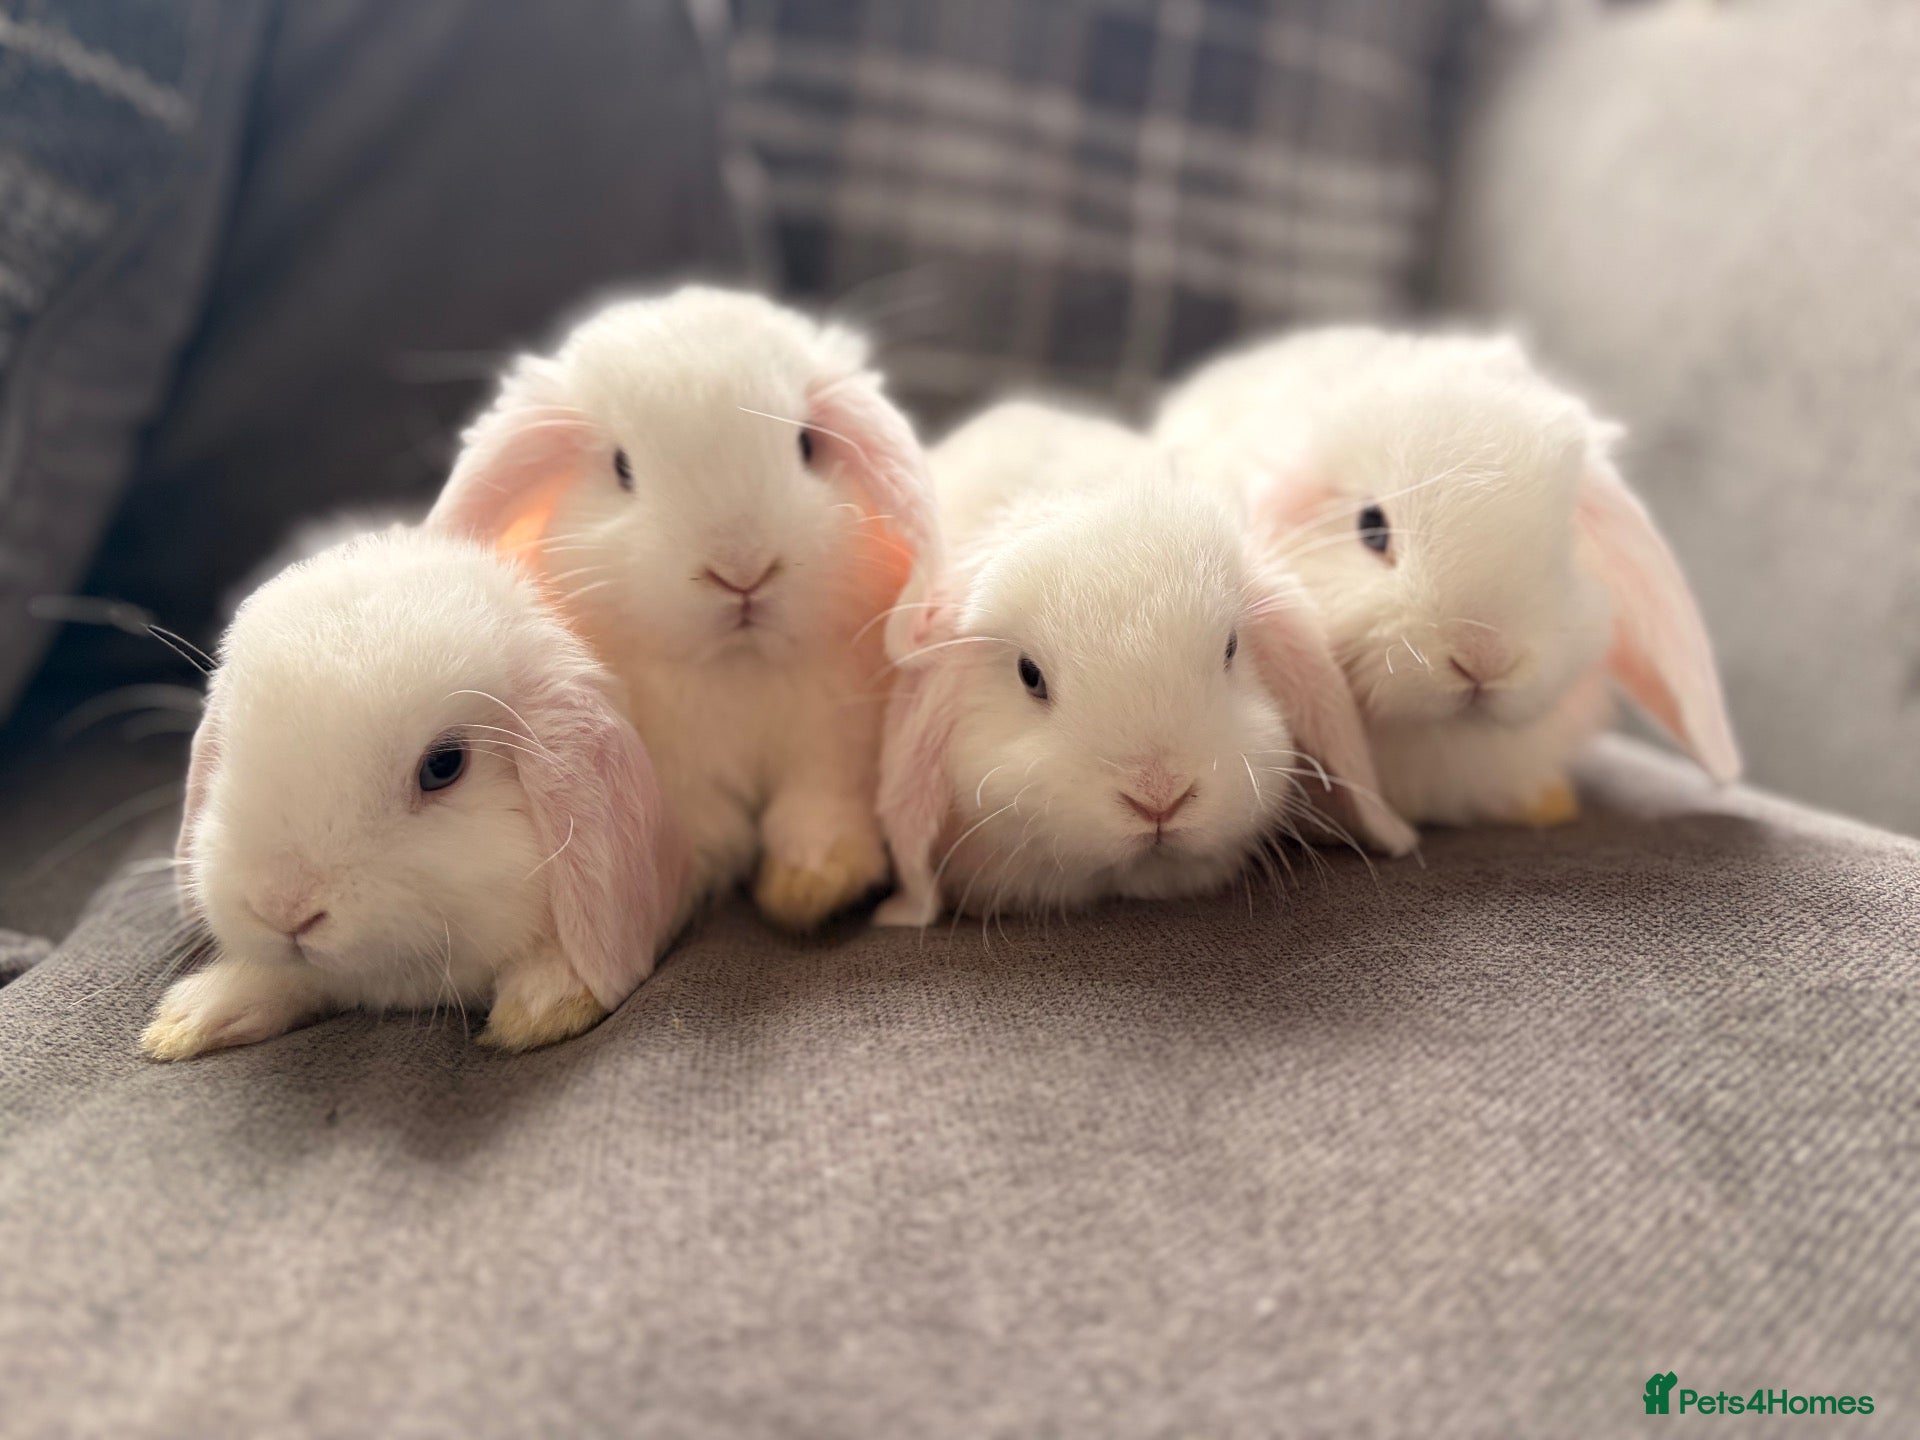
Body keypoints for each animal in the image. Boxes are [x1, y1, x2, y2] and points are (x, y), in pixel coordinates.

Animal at [428, 285, 936, 932]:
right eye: (622, 467)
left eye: (806, 444)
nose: (742, 572)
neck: (736, 668)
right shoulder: (680, 775)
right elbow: (705, 827)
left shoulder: (831, 747)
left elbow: (816, 812)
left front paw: (810, 888)